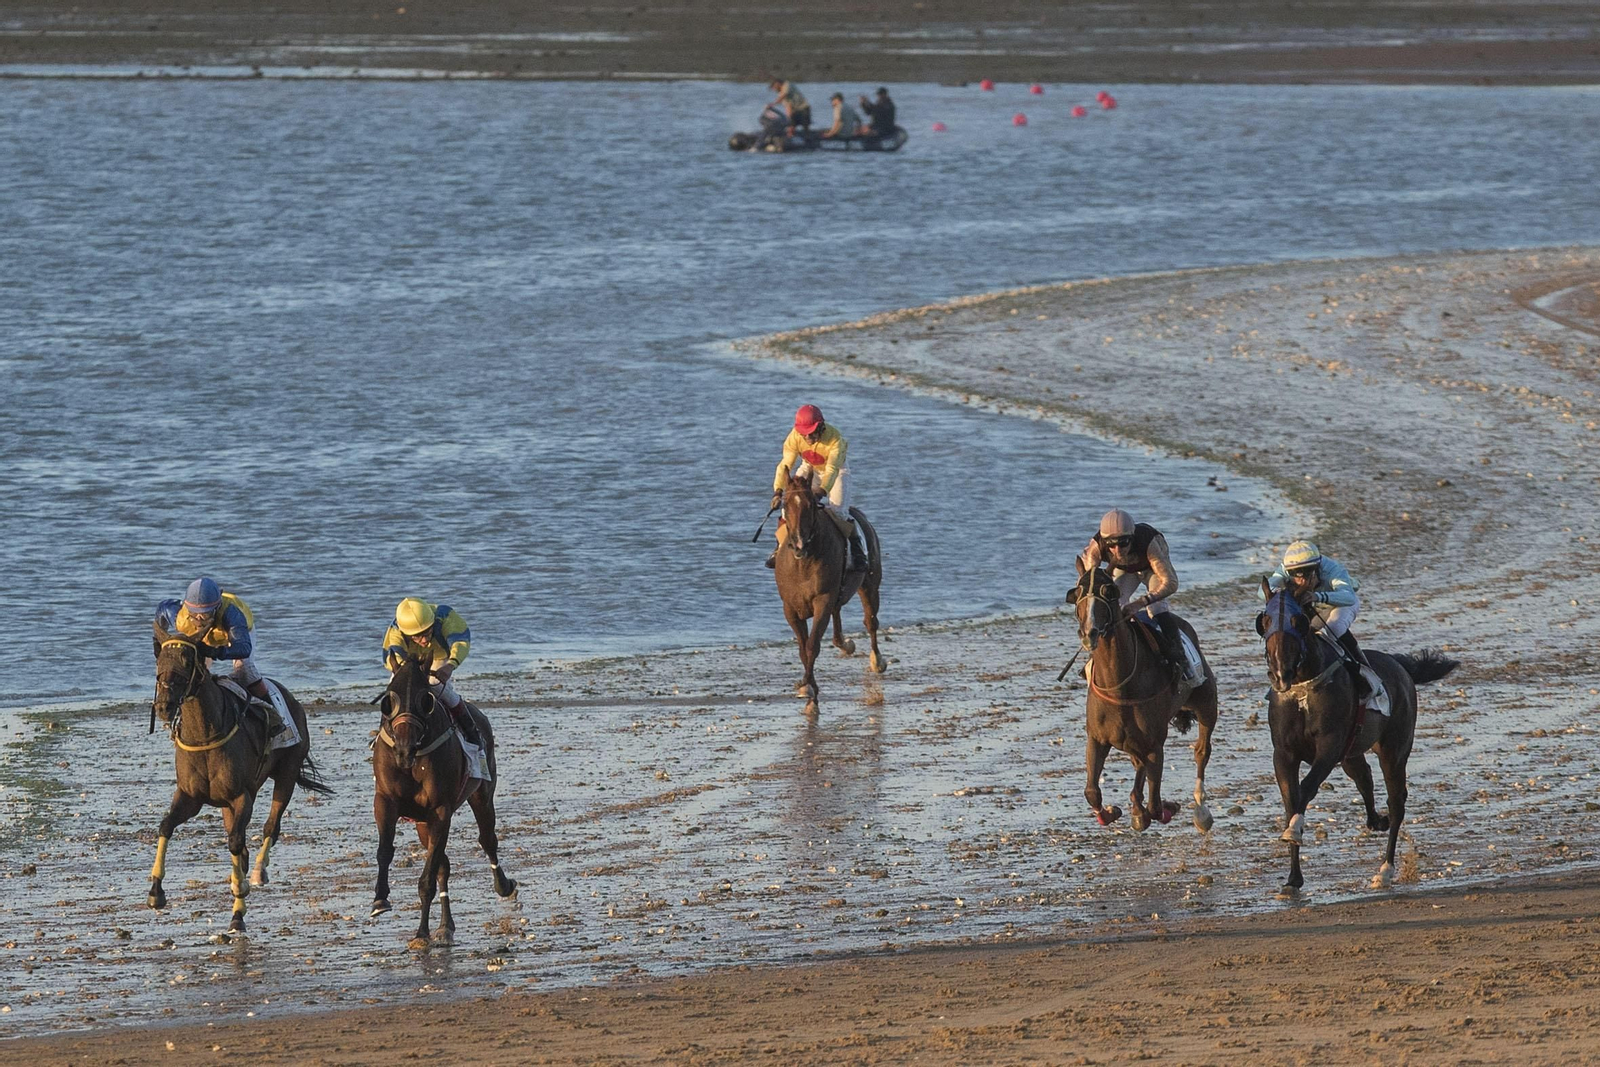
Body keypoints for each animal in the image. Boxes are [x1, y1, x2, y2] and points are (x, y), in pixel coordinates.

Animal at [148, 624, 332, 934]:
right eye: (159, 659)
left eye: (187, 660)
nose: (163, 706)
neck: (205, 735)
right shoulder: (190, 797)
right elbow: (165, 827)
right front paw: (155, 891)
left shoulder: (240, 795)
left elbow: (236, 843)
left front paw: (238, 911)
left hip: (286, 774)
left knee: (271, 827)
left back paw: (257, 871)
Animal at [371, 654, 517, 948]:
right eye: (389, 698)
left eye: (425, 699)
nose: (404, 748)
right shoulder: (385, 802)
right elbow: (385, 851)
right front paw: (380, 899)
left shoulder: (440, 810)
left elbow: (427, 879)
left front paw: (421, 932)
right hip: (421, 823)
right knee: (443, 865)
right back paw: (445, 926)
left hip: (482, 795)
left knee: (488, 841)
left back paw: (503, 886)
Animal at [773, 469, 884, 718]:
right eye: (785, 504)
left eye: (810, 505)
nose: (798, 544)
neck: (802, 562)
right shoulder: (789, 608)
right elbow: (802, 649)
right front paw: (806, 687)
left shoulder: (822, 601)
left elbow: (812, 645)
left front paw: (810, 693)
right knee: (839, 619)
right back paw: (846, 644)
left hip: (870, 584)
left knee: (871, 621)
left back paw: (877, 661)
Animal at [1065, 560, 1219, 832]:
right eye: (1078, 592)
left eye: (1108, 592)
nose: (1089, 632)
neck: (1118, 685)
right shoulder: (1097, 739)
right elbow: (1092, 791)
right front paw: (1111, 812)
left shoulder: (1155, 744)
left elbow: (1156, 806)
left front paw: (1167, 808)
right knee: (1138, 765)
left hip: (1207, 704)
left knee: (1202, 751)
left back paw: (1201, 811)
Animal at [1255, 580, 1459, 893]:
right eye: (1264, 622)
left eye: (1298, 621)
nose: (1280, 673)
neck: (1303, 686)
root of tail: (1401, 668)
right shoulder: (1284, 754)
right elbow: (1291, 799)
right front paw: (1293, 877)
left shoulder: (1329, 746)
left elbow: (1306, 787)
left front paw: (1295, 829)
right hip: (1352, 754)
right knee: (1365, 779)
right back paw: (1377, 822)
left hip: (1394, 751)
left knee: (1396, 803)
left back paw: (1385, 870)